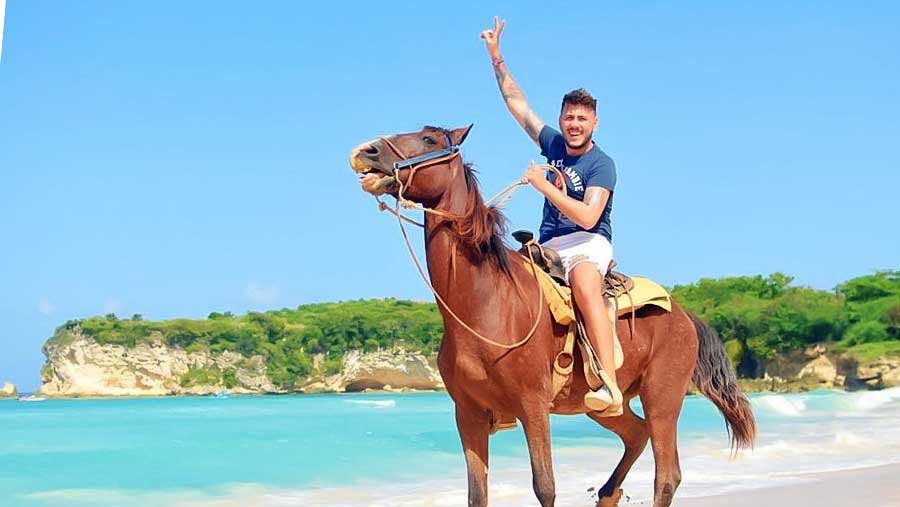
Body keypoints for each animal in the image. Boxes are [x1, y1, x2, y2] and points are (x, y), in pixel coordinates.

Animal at [349, 125, 756, 507]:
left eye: (429, 139)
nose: (366, 152)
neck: (487, 305)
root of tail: (686, 317)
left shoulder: (532, 406)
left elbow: (545, 487)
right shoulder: (468, 413)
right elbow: (477, 495)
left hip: (663, 398)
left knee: (667, 475)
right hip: (609, 407)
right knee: (637, 436)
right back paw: (607, 493)